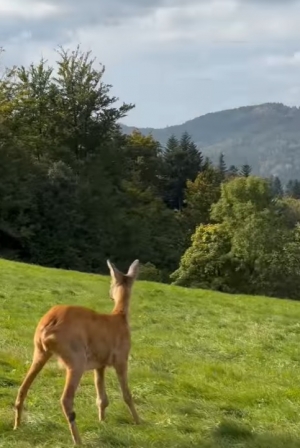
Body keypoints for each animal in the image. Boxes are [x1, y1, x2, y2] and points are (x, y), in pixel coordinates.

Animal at [13, 260, 141, 444]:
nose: (110, 294)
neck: (120, 317)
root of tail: (49, 322)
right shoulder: (121, 358)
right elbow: (127, 394)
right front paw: (139, 422)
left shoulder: (99, 364)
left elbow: (102, 398)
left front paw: (102, 421)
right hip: (76, 358)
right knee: (66, 399)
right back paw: (78, 440)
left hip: (39, 352)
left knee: (23, 388)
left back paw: (17, 426)